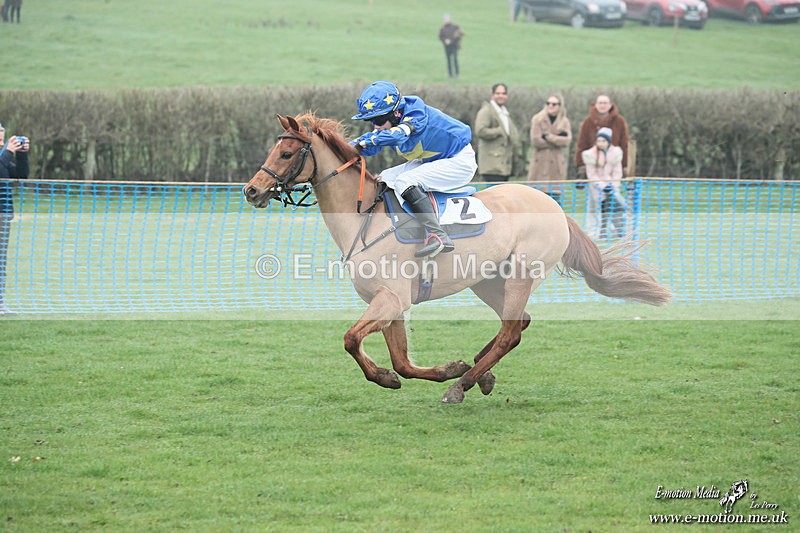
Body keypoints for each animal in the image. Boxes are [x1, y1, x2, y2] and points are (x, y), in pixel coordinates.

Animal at [243, 113, 672, 404]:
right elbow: (401, 361)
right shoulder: (392, 303)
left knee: (511, 330)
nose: (251, 190)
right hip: (487, 280)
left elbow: (351, 339)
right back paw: (478, 374)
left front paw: (391, 376)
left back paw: (462, 386)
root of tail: (554, 205)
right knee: (516, 325)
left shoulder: (392, 298)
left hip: (521, 274)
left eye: (286, 152)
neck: (364, 217)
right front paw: (436, 370)